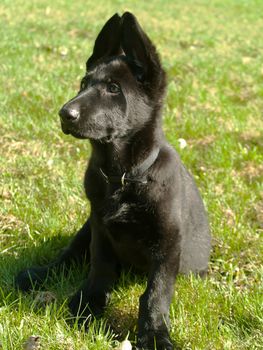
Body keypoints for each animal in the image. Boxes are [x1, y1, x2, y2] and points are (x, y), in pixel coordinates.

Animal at [15, 12, 211, 348]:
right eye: (83, 84)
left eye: (113, 88)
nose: (64, 113)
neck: (123, 177)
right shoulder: (99, 227)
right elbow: (100, 269)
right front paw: (87, 306)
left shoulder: (168, 243)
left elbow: (156, 293)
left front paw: (155, 333)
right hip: (86, 226)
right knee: (70, 254)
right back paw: (39, 275)